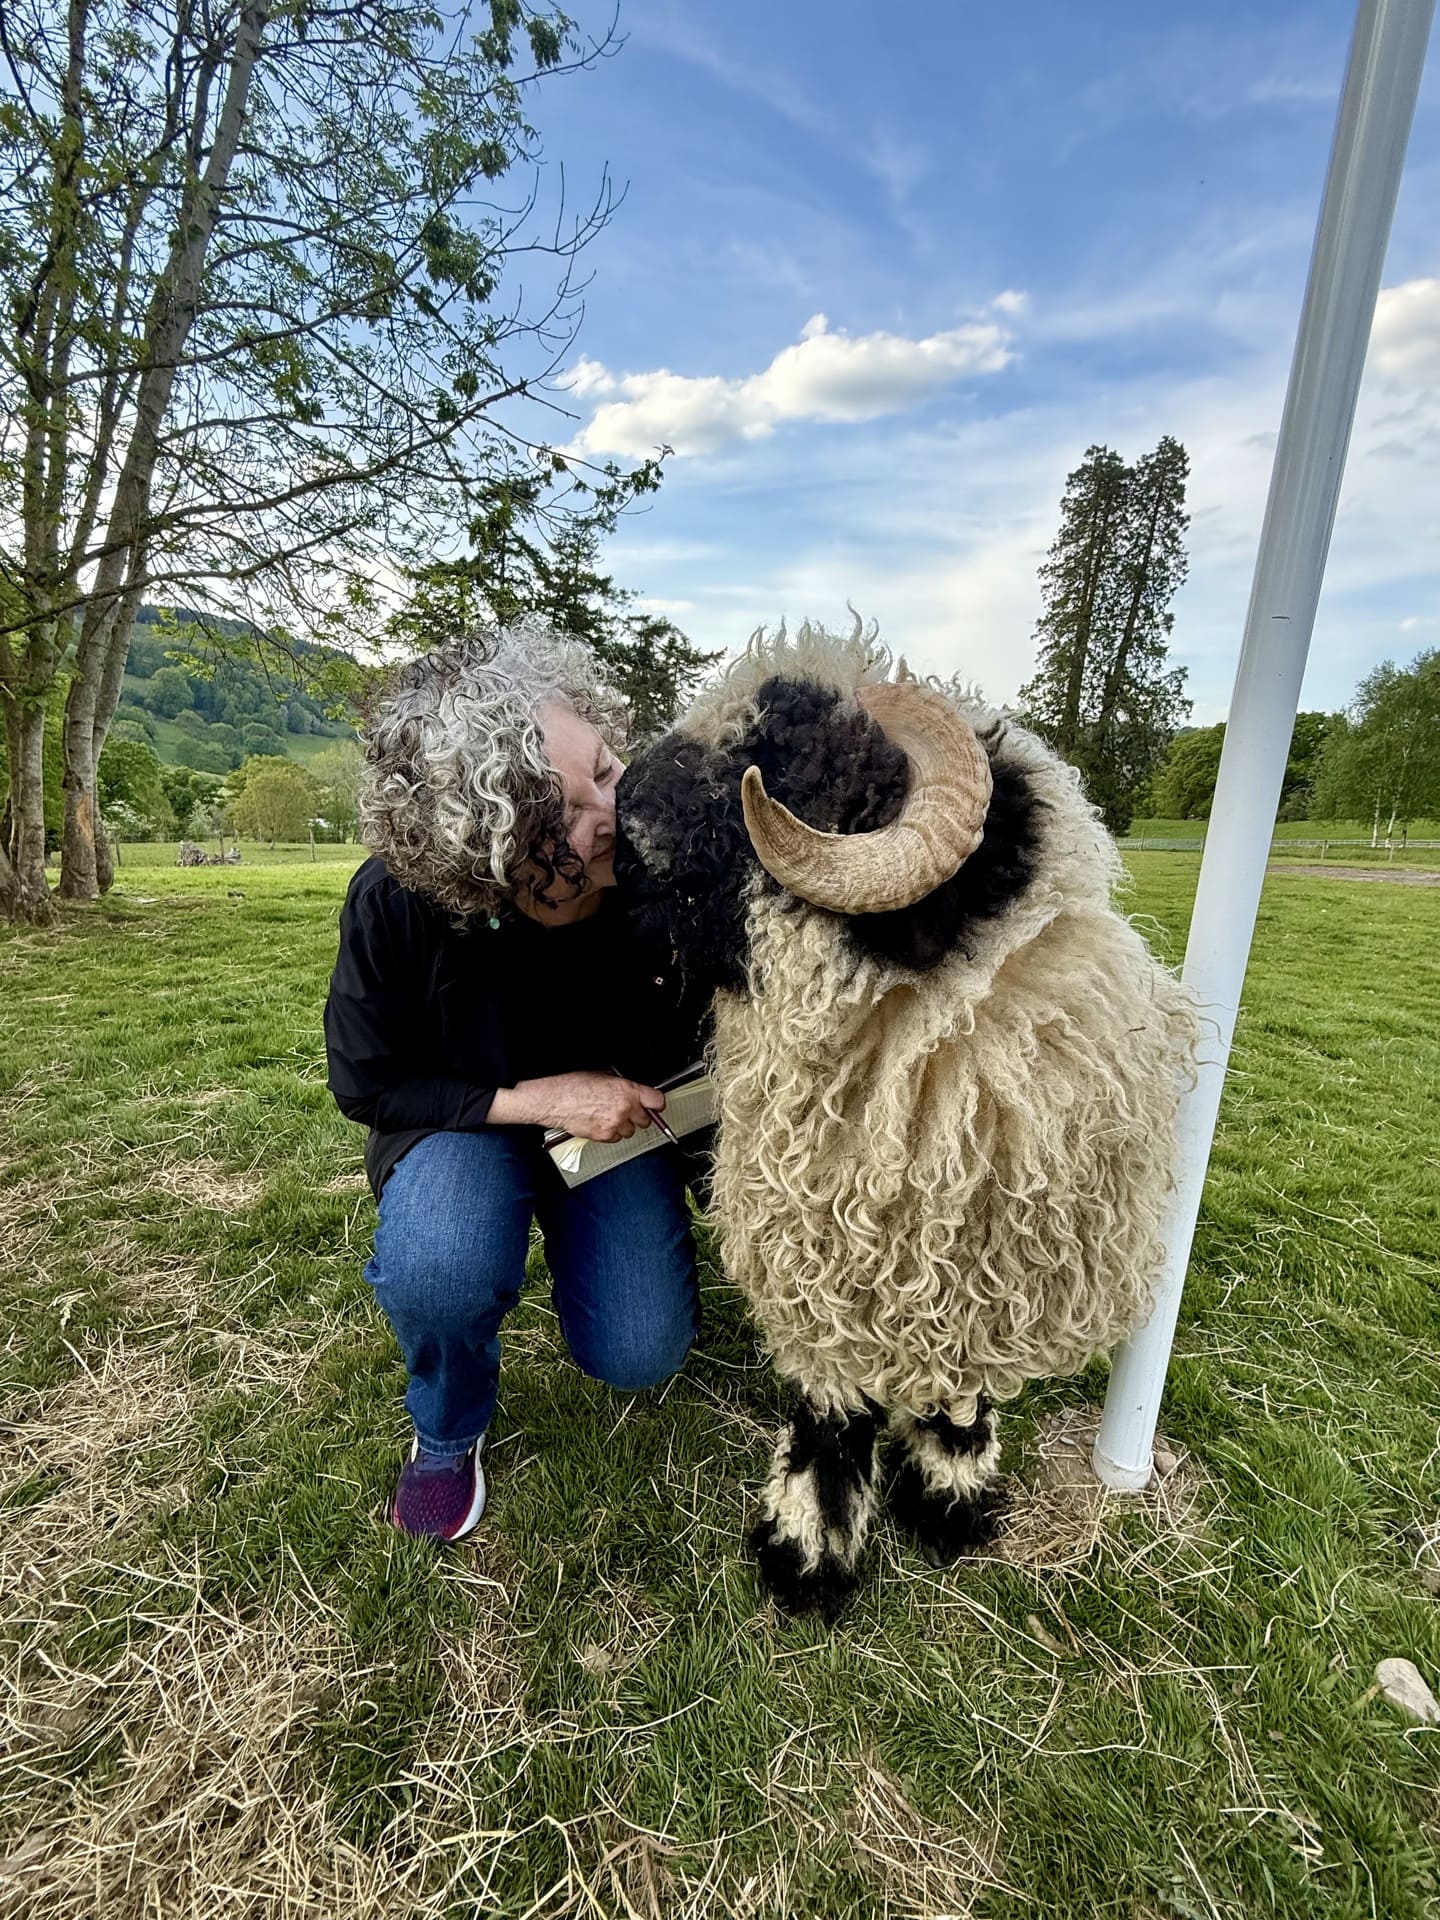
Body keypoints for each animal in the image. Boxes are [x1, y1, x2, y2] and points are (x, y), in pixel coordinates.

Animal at [614, 618, 1198, 1618]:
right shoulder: (820, 1253)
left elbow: (959, 1392)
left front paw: (952, 1501)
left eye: (776, 757)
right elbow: (830, 1407)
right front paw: (808, 1555)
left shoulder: (983, 1265)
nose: (616, 801)